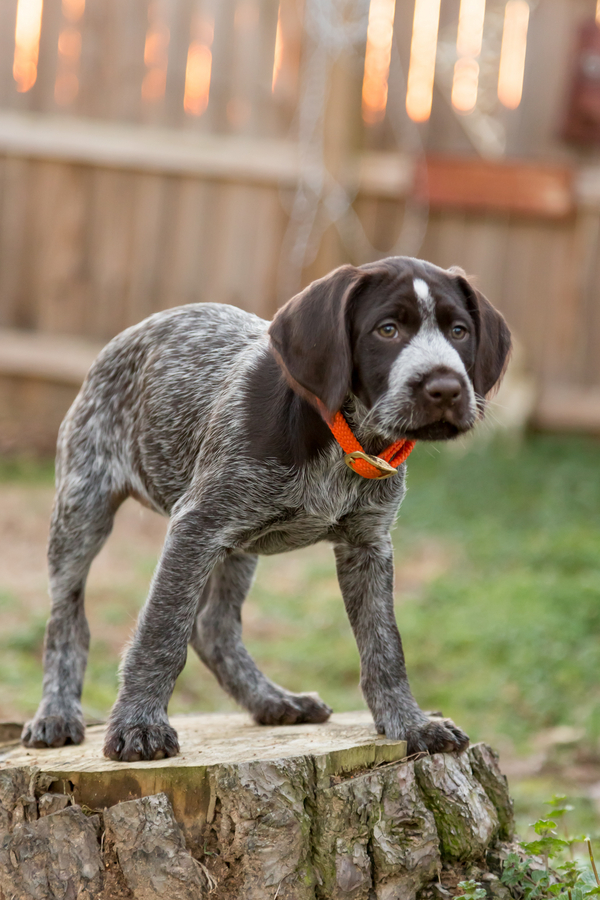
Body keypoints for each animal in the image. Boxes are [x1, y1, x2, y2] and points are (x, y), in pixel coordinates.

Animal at [23, 256, 510, 764]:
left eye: (459, 331)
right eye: (388, 330)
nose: (446, 388)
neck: (342, 437)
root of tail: (129, 334)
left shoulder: (368, 544)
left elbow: (384, 646)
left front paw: (409, 723)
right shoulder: (197, 525)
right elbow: (162, 631)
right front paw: (139, 725)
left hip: (239, 548)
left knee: (213, 627)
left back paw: (271, 700)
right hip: (83, 508)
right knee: (67, 620)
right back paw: (57, 714)